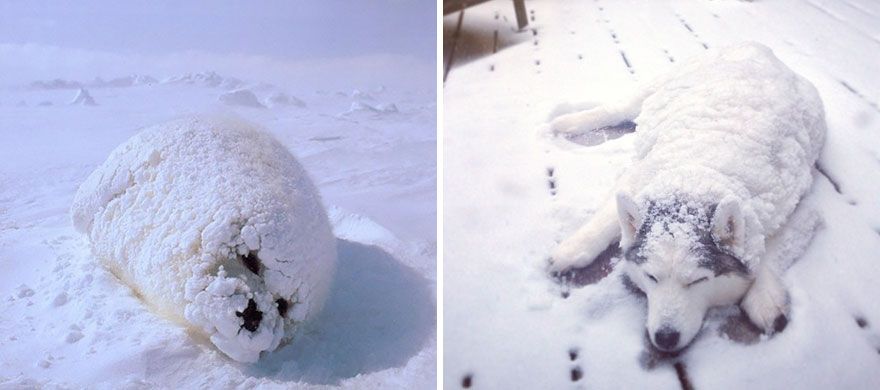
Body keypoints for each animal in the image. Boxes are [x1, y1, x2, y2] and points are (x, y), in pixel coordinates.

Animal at [548, 43, 828, 354]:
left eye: (699, 280)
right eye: (652, 277)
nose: (665, 338)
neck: (698, 175)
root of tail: (758, 48)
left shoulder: (805, 209)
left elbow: (770, 253)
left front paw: (764, 297)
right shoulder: (643, 175)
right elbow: (607, 218)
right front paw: (574, 248)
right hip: (658, 88)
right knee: (617, 109)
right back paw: (570, 121)